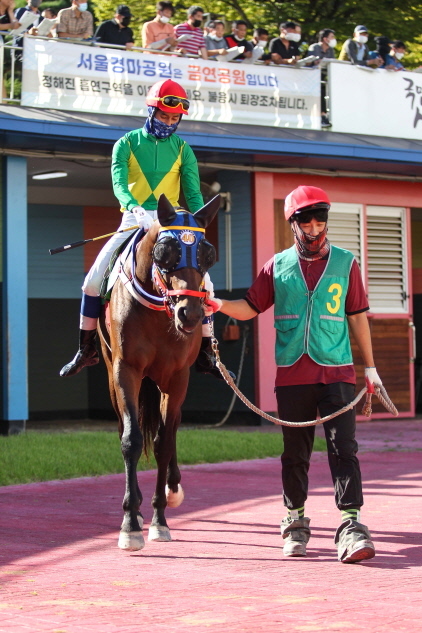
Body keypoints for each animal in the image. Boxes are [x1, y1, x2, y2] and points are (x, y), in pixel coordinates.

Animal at [99, 191, 221, 548]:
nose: (190, 314)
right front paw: (131, 521)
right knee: (128, 429)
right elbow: (131, 439)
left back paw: (173, 486)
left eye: (208, 255)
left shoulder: (177, 377)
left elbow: (164, 442)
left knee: (172, 429)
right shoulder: (125, 371)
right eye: (166, 251)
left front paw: (159, 518)